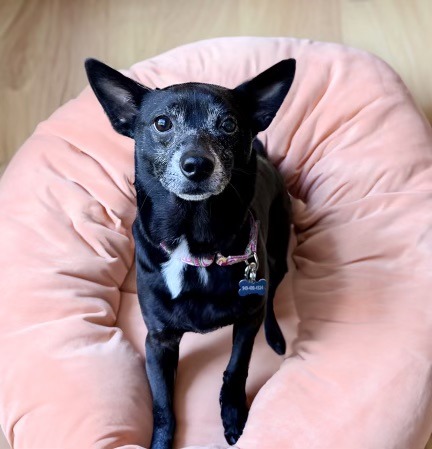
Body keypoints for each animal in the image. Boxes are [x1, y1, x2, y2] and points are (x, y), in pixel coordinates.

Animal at [85, 58, 296, 448]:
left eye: (229, 124)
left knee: (271, 296)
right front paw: (160, 442)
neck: (196, 242)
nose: (197, 164)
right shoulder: (158, 341)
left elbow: (236, 369)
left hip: (276, 254)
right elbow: (162, 406)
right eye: (162, 123)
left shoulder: (246, 322)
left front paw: (234, 416)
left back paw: (275, 334)